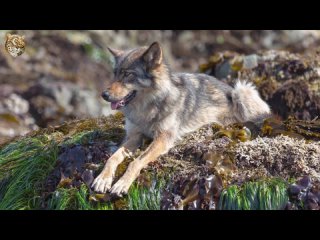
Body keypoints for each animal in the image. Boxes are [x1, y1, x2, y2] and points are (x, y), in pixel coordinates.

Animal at [90, 41, 270, 195]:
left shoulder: (163, 138)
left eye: (128, 75)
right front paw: (103, 179)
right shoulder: (134, 136)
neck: (147, 108)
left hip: (242, 90)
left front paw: (122, 183)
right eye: (115, 74)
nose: (104, 95)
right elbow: (113, 158)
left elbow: (136, 162)